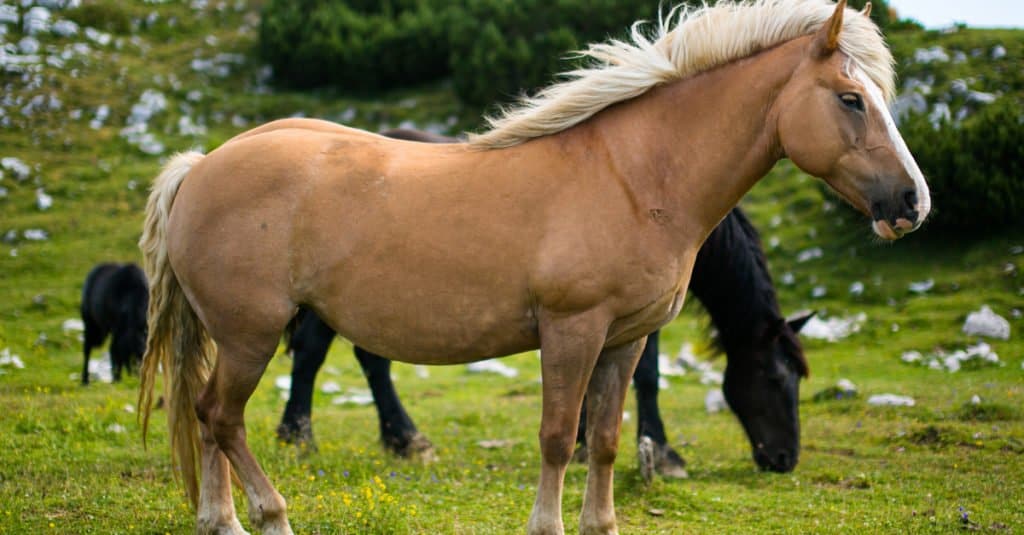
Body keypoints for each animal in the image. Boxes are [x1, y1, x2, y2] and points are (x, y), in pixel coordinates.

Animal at [276, 131, 811, 473]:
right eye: (773, 377)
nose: (785, 460)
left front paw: (589, 440)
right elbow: (648, 376)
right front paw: (660, 453)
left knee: (367, 358)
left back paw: (401, 440)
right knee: (314, 353)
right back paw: (300, 437)